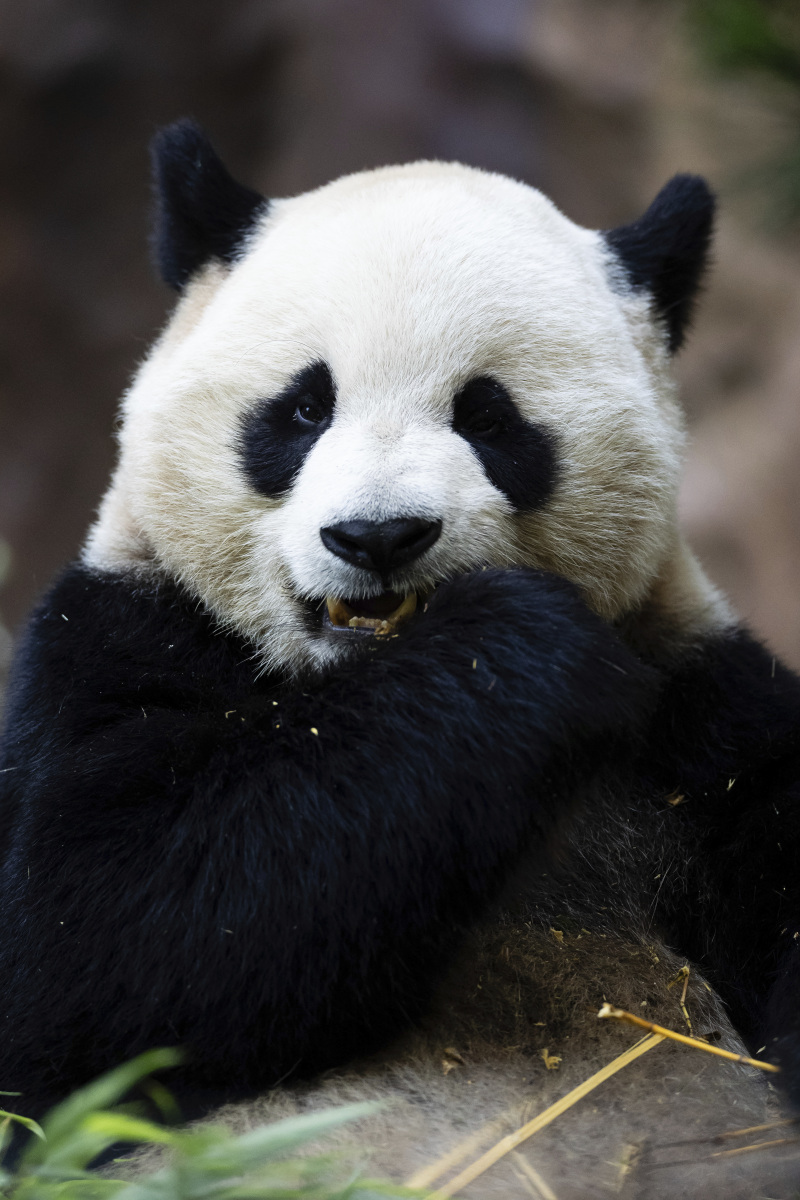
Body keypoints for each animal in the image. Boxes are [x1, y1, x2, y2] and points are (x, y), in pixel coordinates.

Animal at [1, 121, 800, 1190]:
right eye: (304, 409)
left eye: (488, 416)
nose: (378, 536)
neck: (353, 696)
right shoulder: (115, 639)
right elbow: (100, 949)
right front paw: (523, 650)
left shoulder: (706, 720)